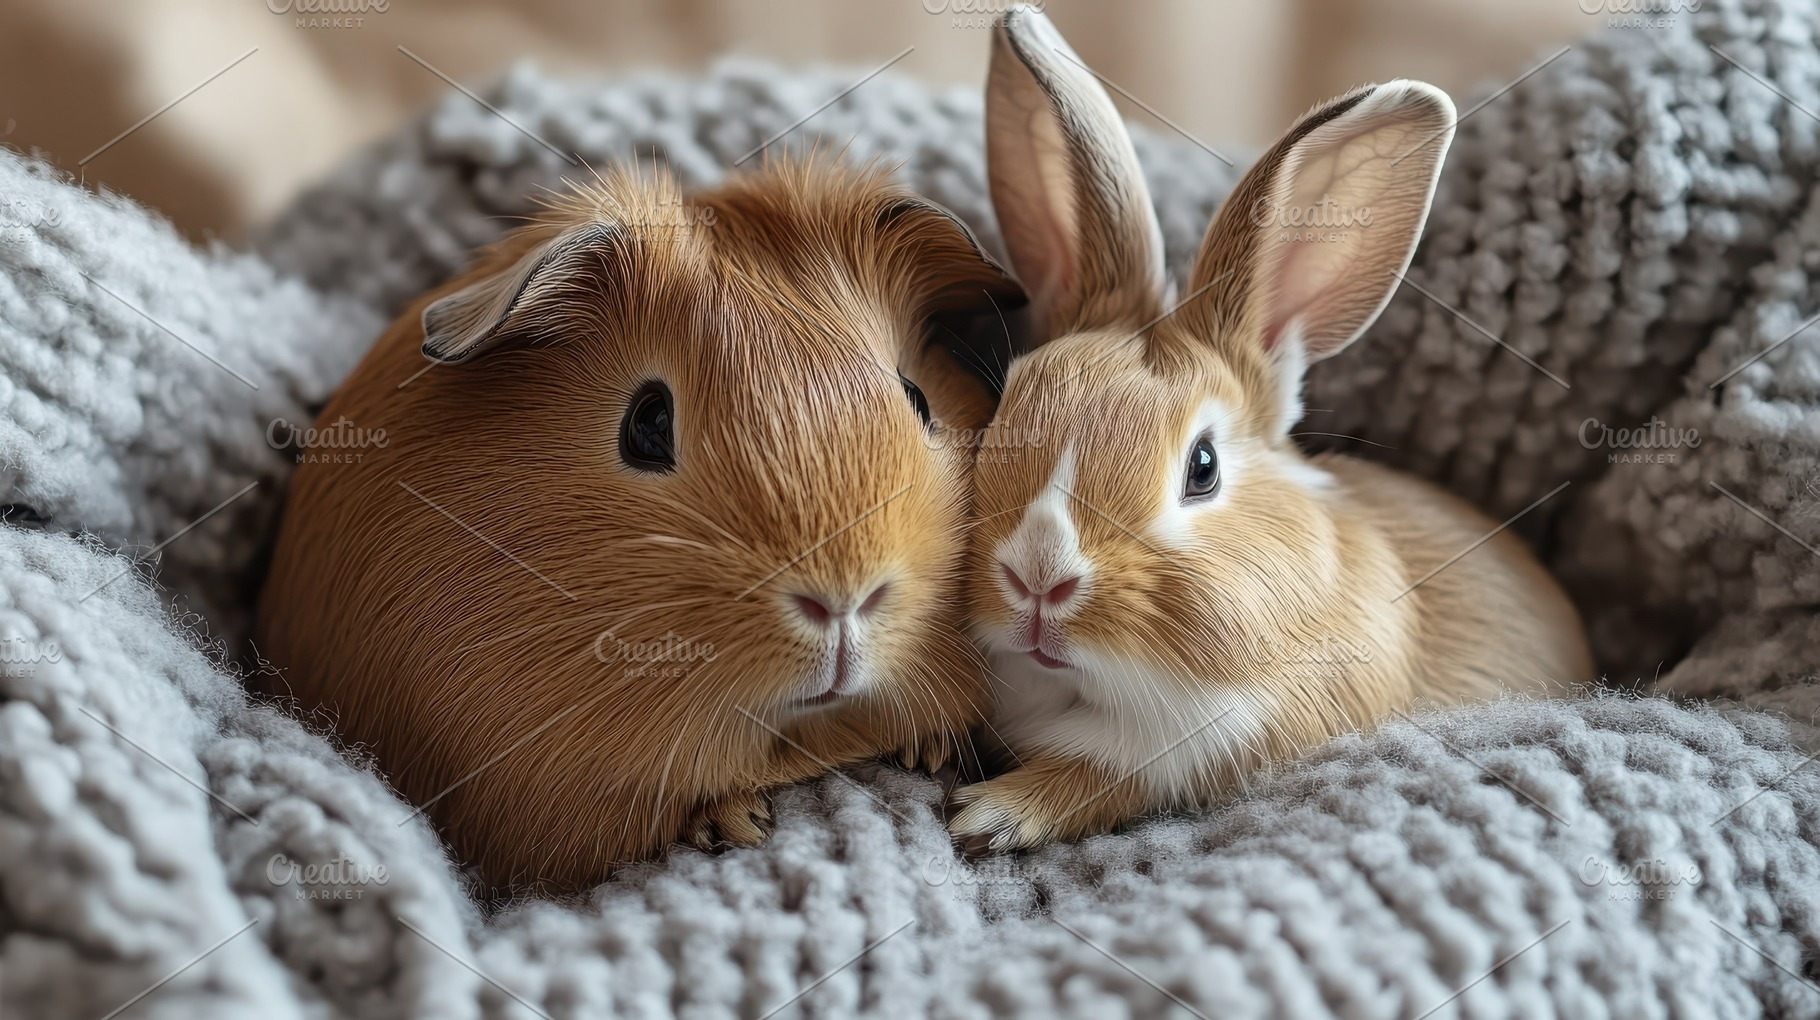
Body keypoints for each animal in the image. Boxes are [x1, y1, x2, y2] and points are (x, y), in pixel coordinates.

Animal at [947, 7, 1594, 853]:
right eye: (1004, 412)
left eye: (1203, 468)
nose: (1038, 579)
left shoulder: (1212, 741)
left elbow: (1093, 781)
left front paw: (988, 815)